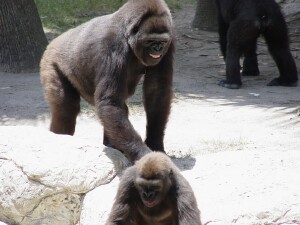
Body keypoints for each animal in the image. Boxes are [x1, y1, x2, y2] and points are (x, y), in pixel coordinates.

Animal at [41, 0, 175, 162]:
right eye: (150, 41)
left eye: (163, 41)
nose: (158, 48)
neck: (128, 33)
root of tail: (54, 41)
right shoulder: (112, 45)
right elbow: (109, 102)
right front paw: (143, 154)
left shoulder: (171, 38)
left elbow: (157, 91)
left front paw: (155, 143)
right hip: (51, 60)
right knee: (65, 108)